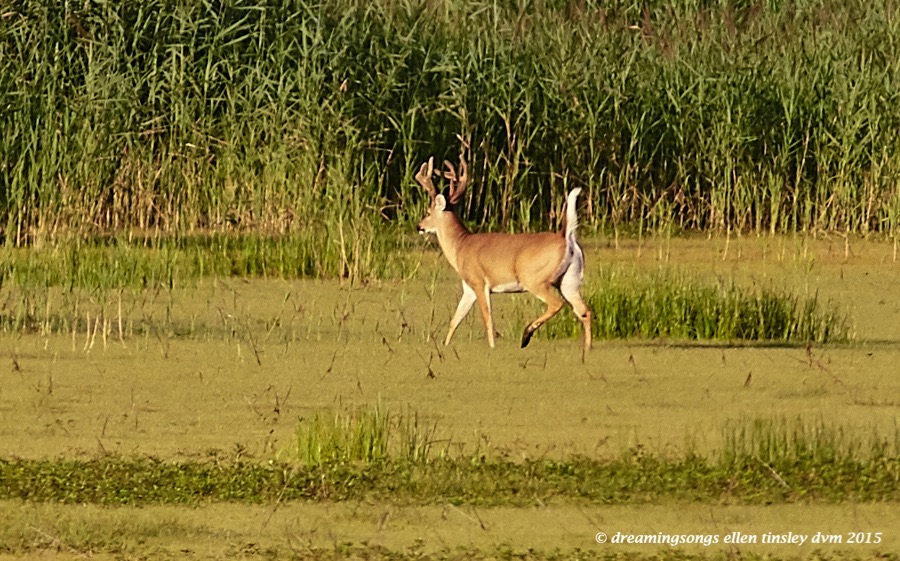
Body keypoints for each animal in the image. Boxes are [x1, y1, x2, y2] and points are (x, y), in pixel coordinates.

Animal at [415, 152, 592, 352]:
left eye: (428, 211)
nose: (419, 226)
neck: (460, 245)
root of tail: (566, 237)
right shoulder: (468, 288)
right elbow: (455, 319)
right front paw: (445, 345)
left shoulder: (479, 282)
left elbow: (487, 318)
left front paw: (492, 347)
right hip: (569, 280)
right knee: (584, 311)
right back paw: (587, 349)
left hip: (534, 278)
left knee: (557, 304)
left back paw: (526, 335)